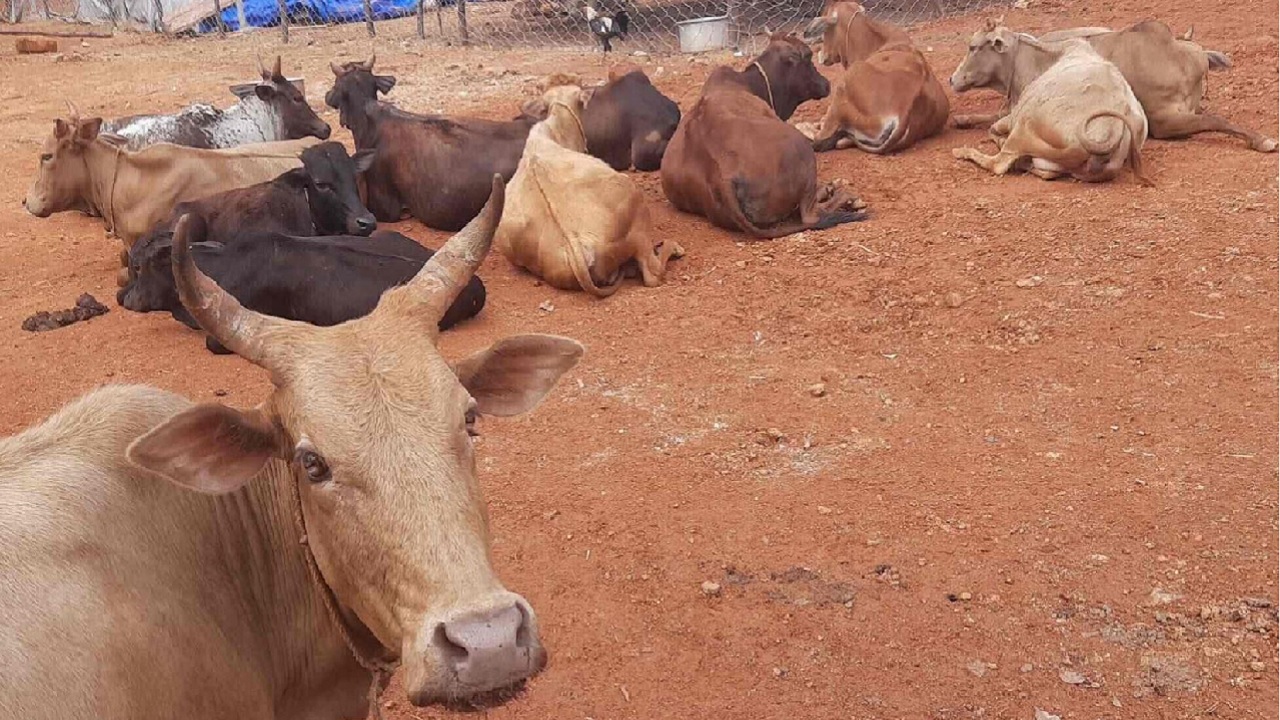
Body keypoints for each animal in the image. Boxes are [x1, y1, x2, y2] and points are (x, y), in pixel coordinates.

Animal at [660, 34, 867, 239]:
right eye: (808, 57)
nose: (826, 83)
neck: (747, 83)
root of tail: (722, 177)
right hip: (803, 150)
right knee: (810, 216)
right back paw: (846, 198)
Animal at [951, 19, 1277, 153]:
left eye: (973, 47)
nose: (952, 79)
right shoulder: (1164, 122)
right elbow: (1216, 119)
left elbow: (1217, 119)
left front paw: (1261, 139)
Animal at [951, 38, 1150, 184]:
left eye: (973, 47)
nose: (951, 79)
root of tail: (1112, 128)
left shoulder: (1015, 113)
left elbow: (992, 127)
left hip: (1024, 125)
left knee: (998, 163)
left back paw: (963, 151)